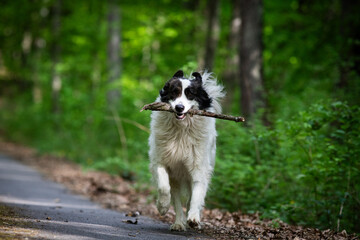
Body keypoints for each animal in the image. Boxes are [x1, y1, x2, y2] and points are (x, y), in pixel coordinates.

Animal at [148, 70, 224, 231]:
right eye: (174, 92)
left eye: (190, 94)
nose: (179, 108)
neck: (181, 129)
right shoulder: (160, 162)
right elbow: (164, 187)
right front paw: (162, 207)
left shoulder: (199, 167)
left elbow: (196, 194)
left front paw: (194, 217)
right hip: (176, 178)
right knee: (176, 200)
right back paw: (178, 223)